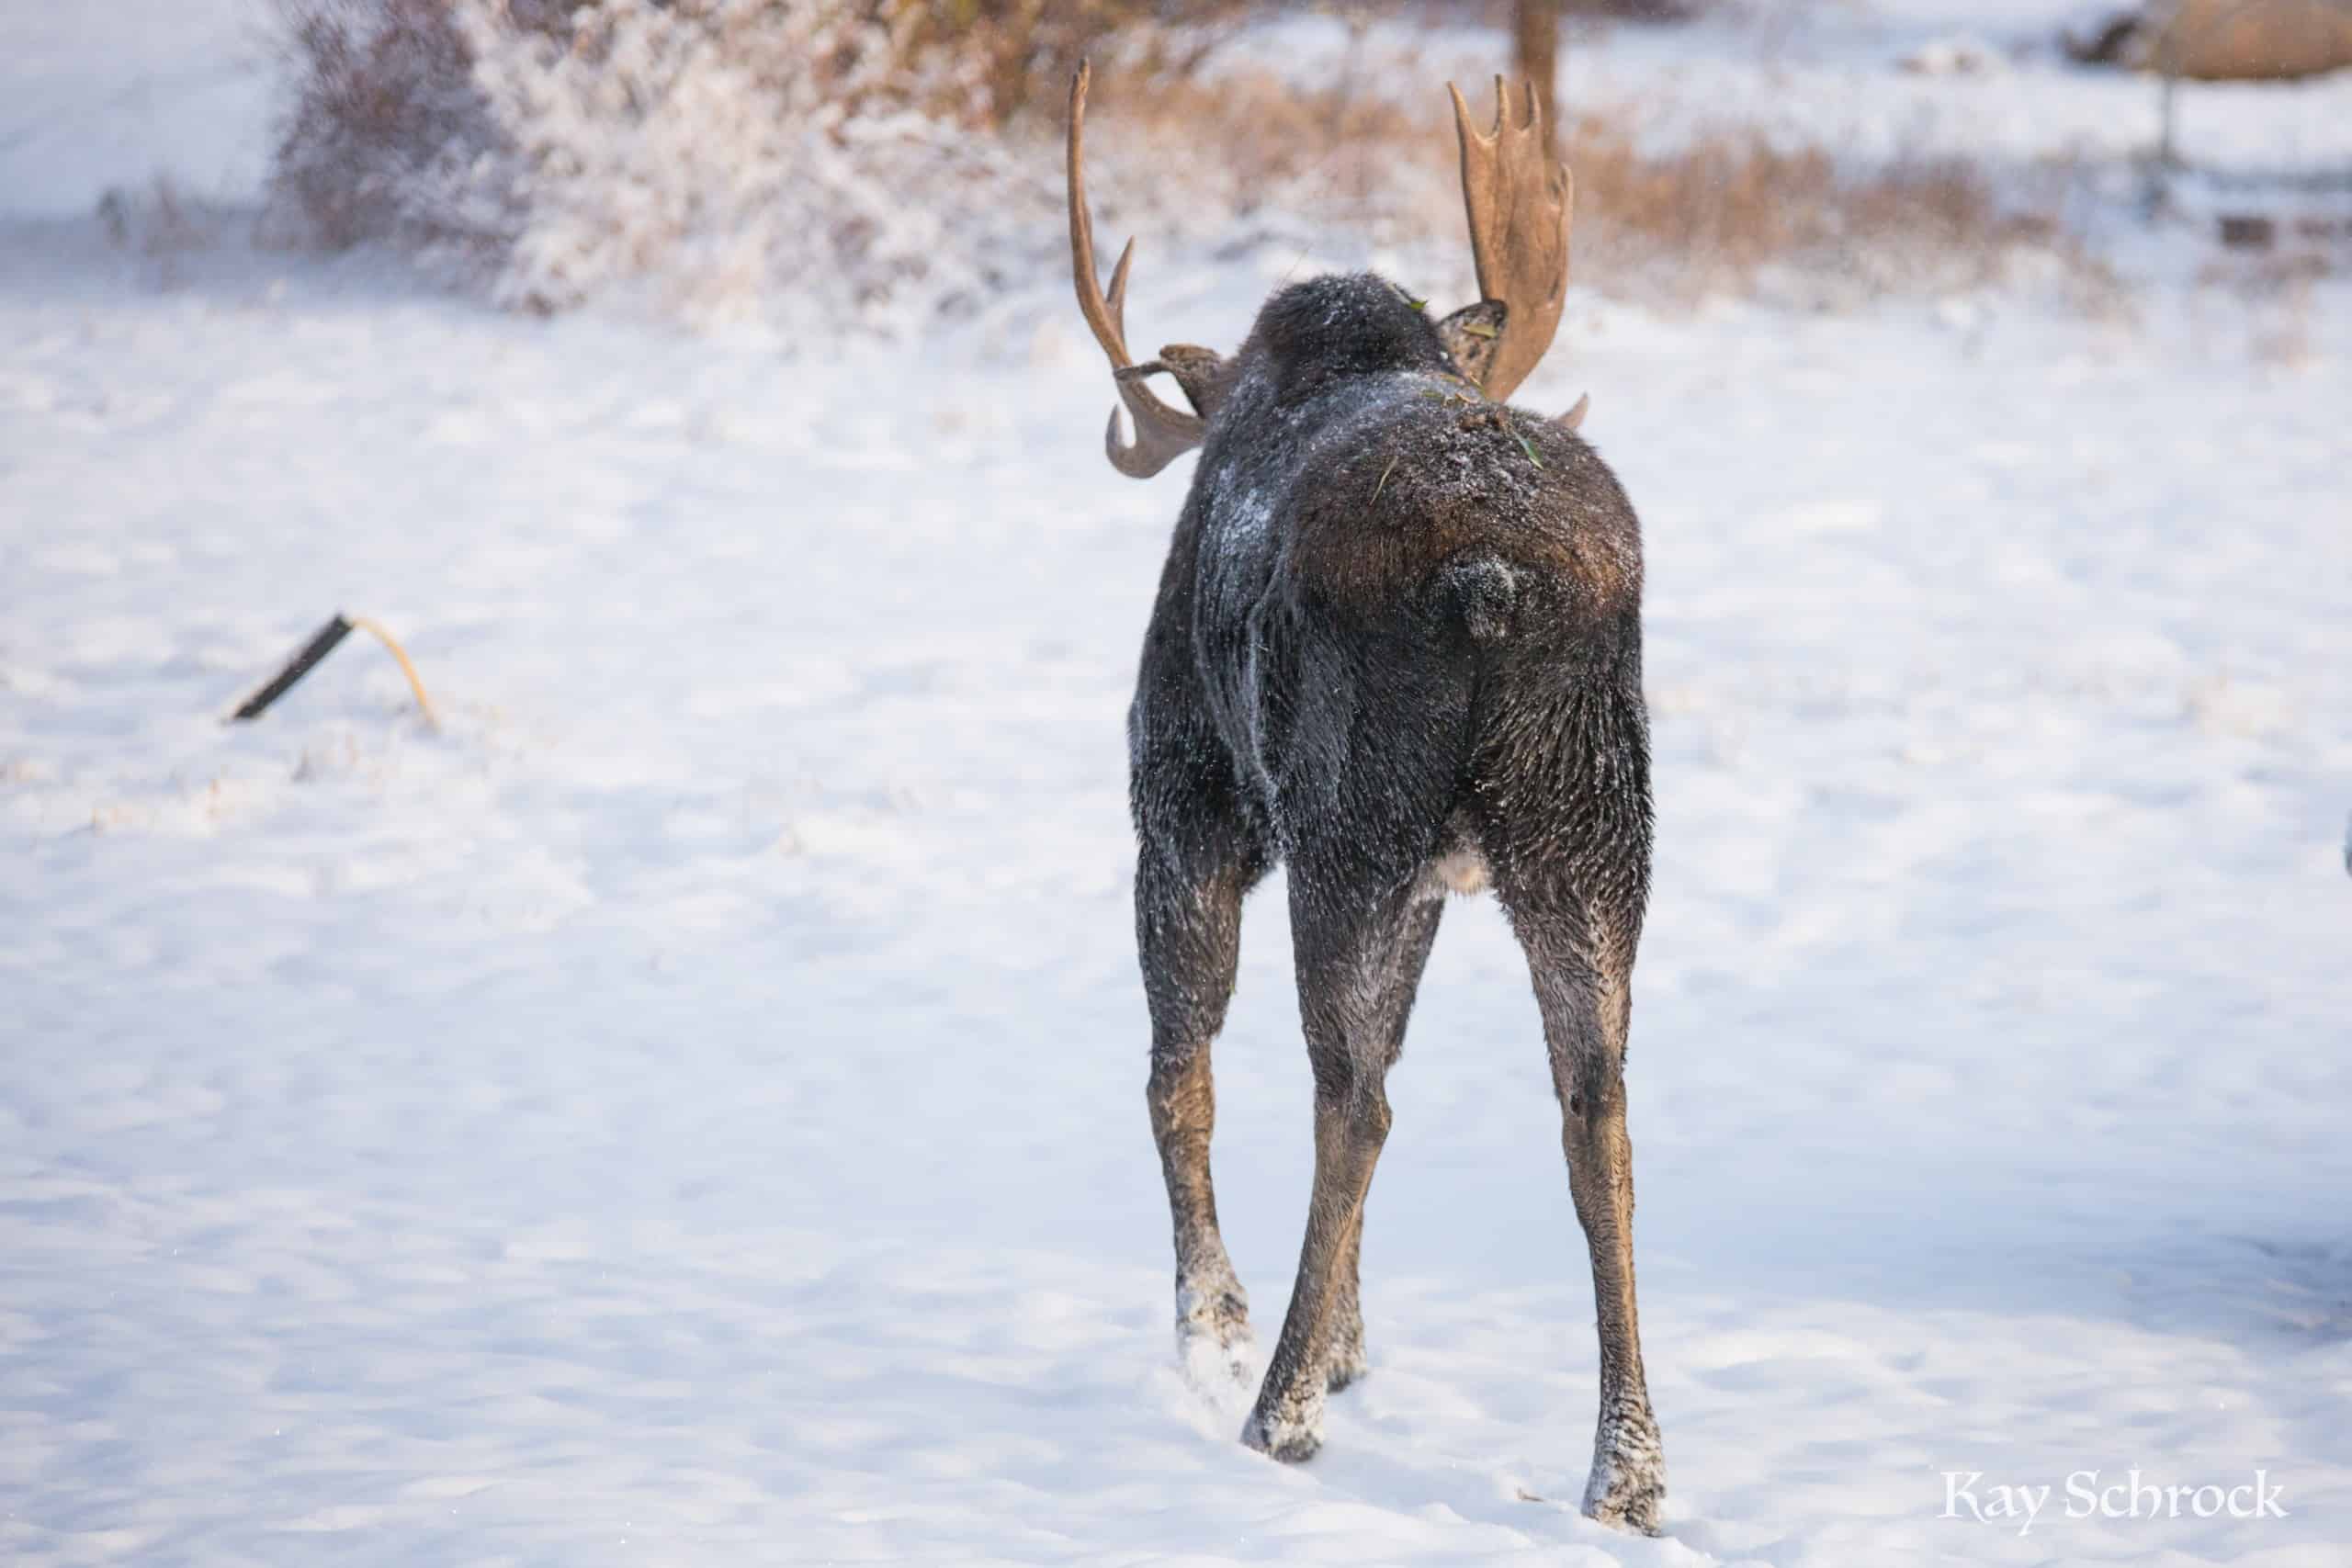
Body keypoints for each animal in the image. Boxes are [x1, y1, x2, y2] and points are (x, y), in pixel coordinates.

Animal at [1064, 65, 1663, 1533]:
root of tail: (1489, 582)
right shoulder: (1444, 884)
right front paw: (1342, 1337)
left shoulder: (1185, 797)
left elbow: (1178, 1074)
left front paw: (1221, 1328)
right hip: (1588, 838)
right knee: (1595, 1110)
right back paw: (1626, 1471)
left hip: (1346, 826)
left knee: (1347, 1099)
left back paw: (1272, 1407)